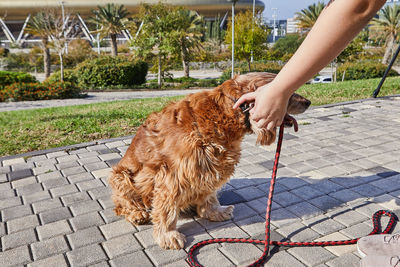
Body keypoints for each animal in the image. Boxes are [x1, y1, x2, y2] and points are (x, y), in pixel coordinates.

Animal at [108, 72, 310, 250]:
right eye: (289, 94)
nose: (308, 102)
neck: (223, 115)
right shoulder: (172, 175)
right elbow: (166, 209)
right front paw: (167, 235)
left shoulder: (209, 167)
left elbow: (208, 194)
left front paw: (214, 211)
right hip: (121, 176)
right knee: (121, 205)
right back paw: (138, 213)